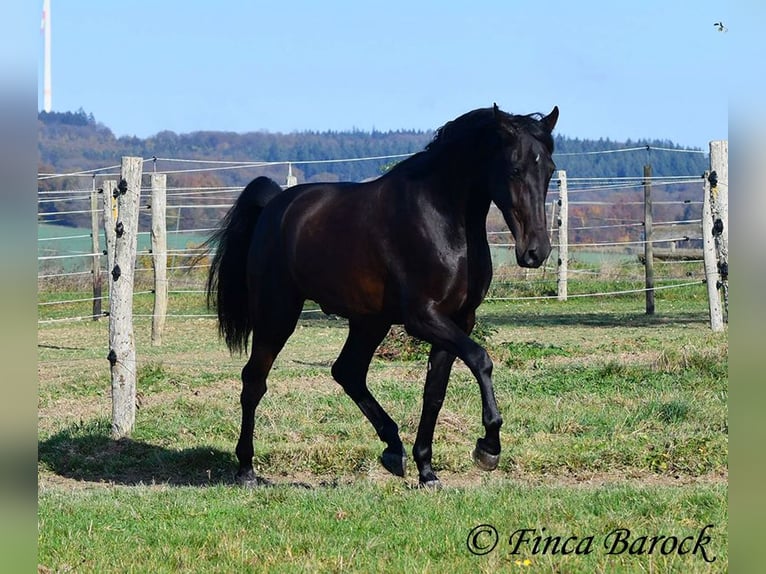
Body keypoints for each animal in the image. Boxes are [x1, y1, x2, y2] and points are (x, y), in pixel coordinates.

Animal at [207, 101, 560, 488]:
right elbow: (481, 359)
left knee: (347, 372)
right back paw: (246, 469)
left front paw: (427, 470)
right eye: (514, 168)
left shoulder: (459, 320)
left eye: (549, 170)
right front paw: (488, 448)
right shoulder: (423, 318)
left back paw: (393, 448)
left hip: (368, 321)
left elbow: (434, 392)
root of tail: (275, 206)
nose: (536, 252)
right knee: (254, 380)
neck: (442, 219)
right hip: (278, 314)